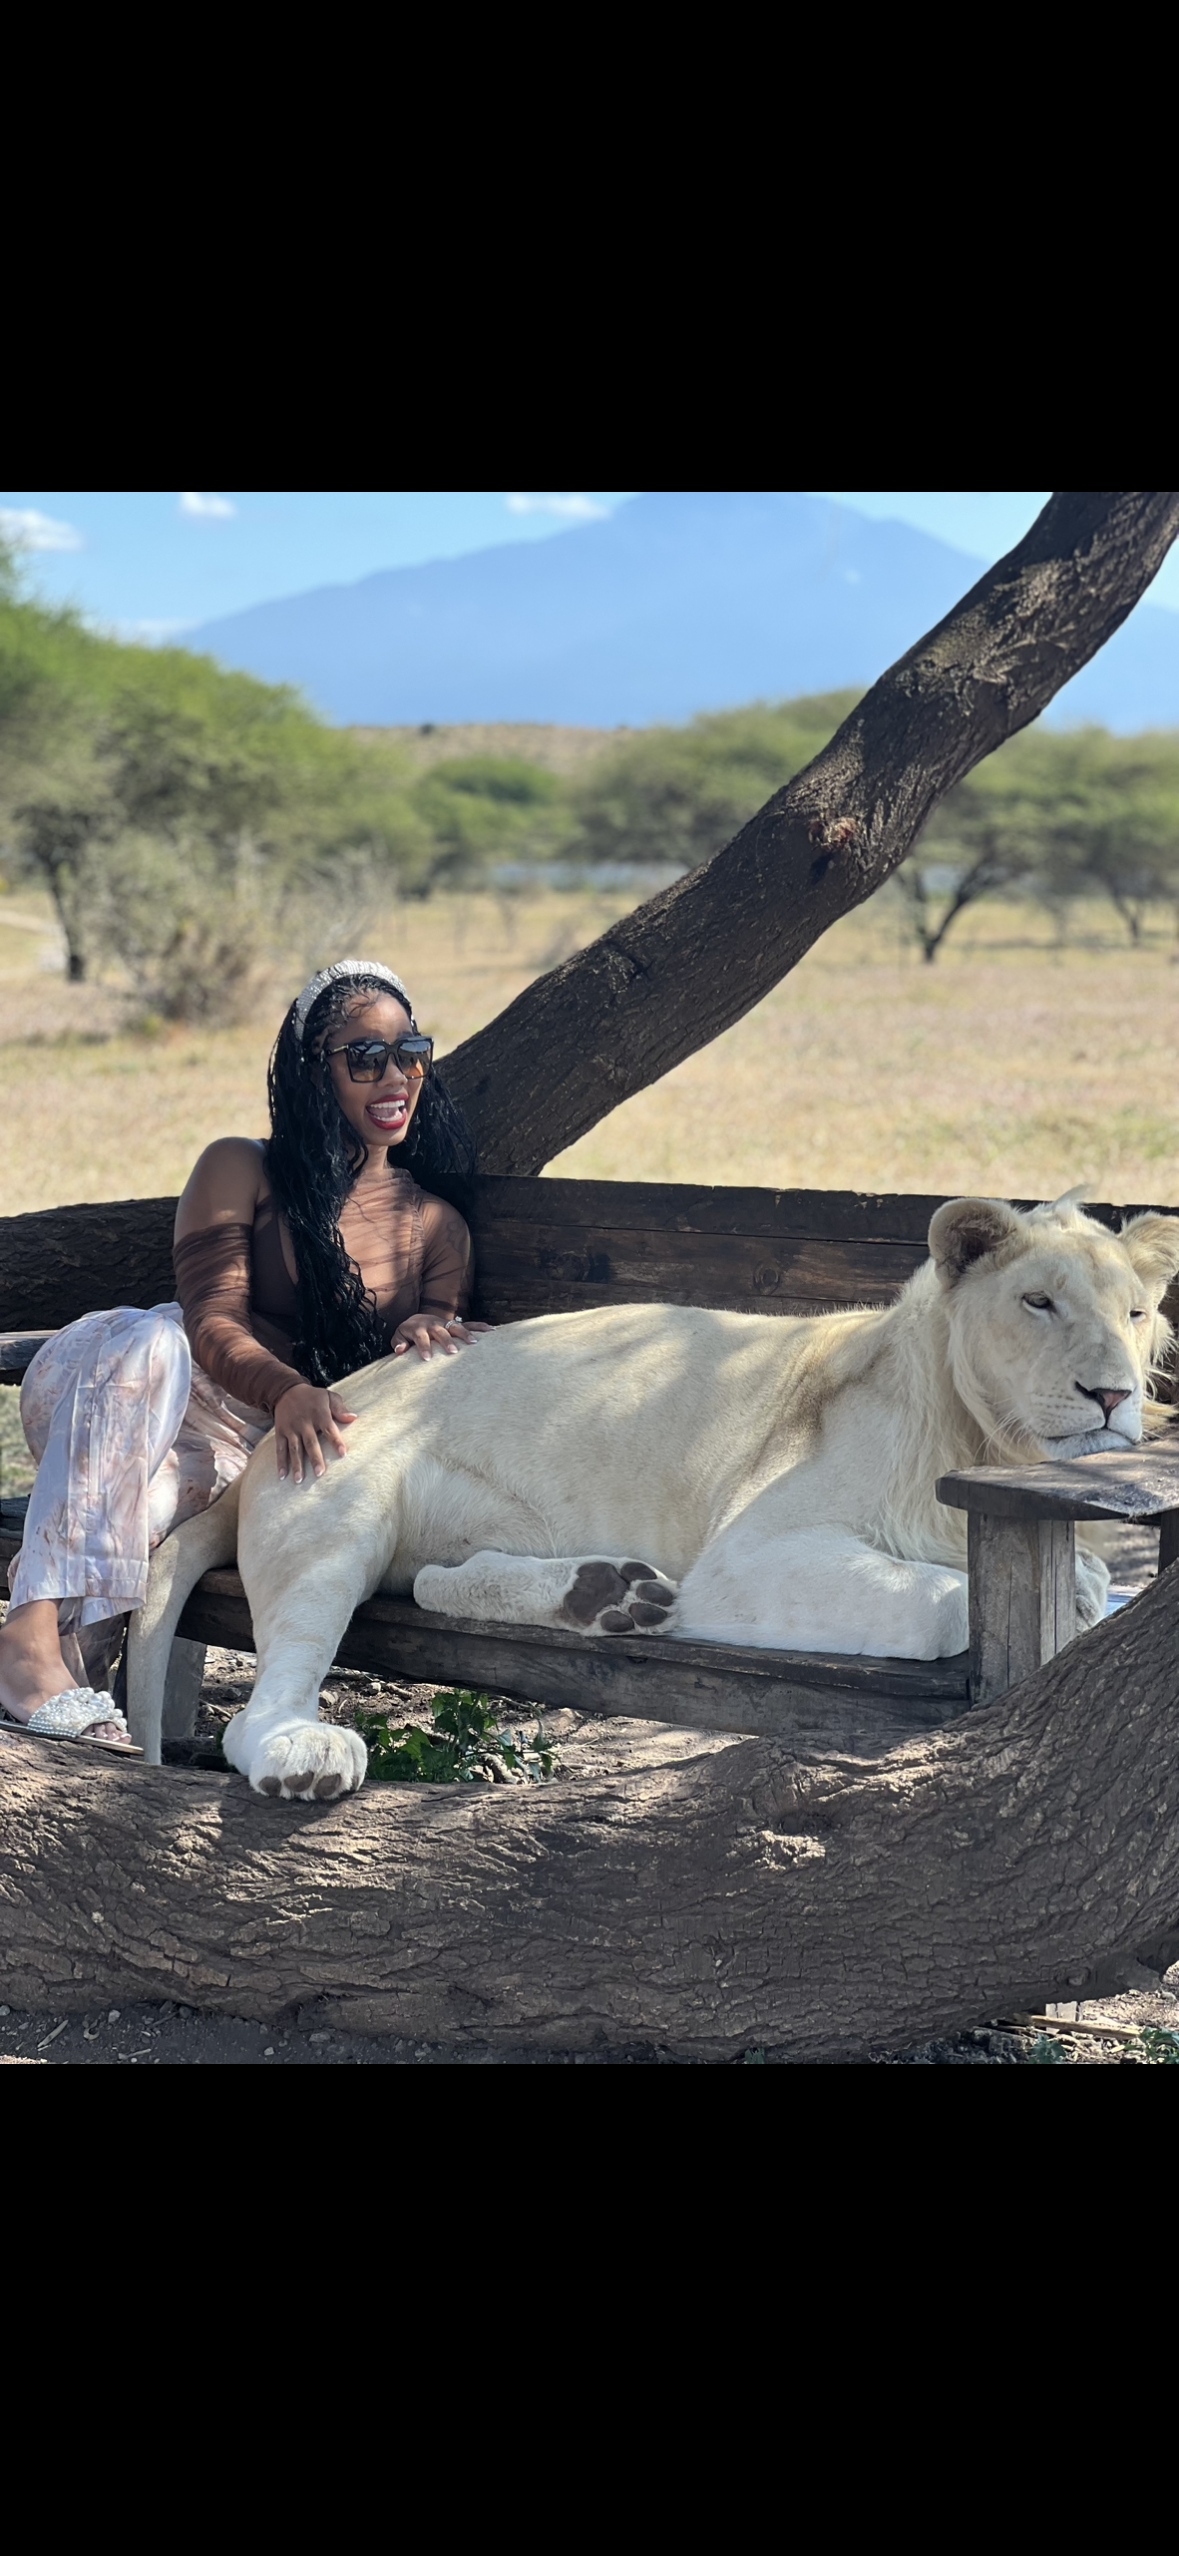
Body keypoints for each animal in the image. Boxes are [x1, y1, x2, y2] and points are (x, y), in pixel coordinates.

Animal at [128, 1192, 1179, 1795]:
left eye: (1134, 1313)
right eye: (1038, 1302)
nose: (1112, 1395)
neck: (984, 1440)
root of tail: (282, 1425)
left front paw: (1088, 1585)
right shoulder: (748, 1559)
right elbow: (934, 1601)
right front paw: (1064, 1596)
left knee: (425, 1583)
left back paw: (606, 1597)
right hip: (337, 1507)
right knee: (267, 1698)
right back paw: (305, 1755)